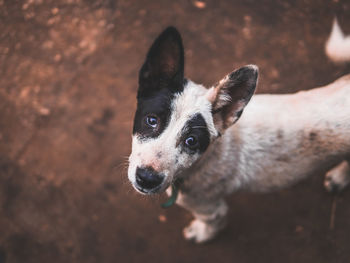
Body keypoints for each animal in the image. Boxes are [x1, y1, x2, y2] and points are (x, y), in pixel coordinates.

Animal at [128, 21, 350, 244]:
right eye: (151, 120)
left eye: (191, 141)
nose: (147, 178)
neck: (207, 158)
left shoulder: (210, 208)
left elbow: (213, 225)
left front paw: (201, 234)